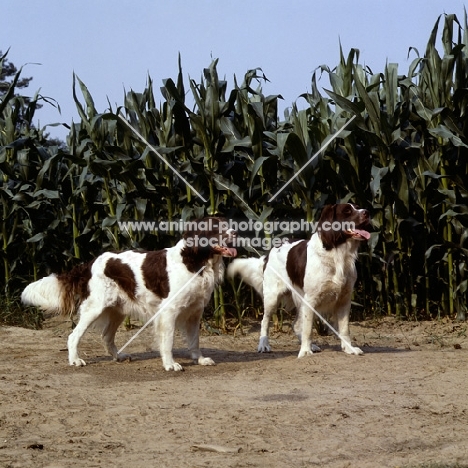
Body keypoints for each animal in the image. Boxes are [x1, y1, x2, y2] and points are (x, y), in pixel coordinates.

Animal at [227, 203, 370, 356]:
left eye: (357, 207)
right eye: (347, 211)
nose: (367, 212)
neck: (337, 253)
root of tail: (269, 253)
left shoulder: (344, 299)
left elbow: (344, 329)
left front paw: (349, 349)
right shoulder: (311, 299)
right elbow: (308, 329)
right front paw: (305, 351)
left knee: (295, 325)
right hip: (272, 298)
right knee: (265, 321)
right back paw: (264, 345)